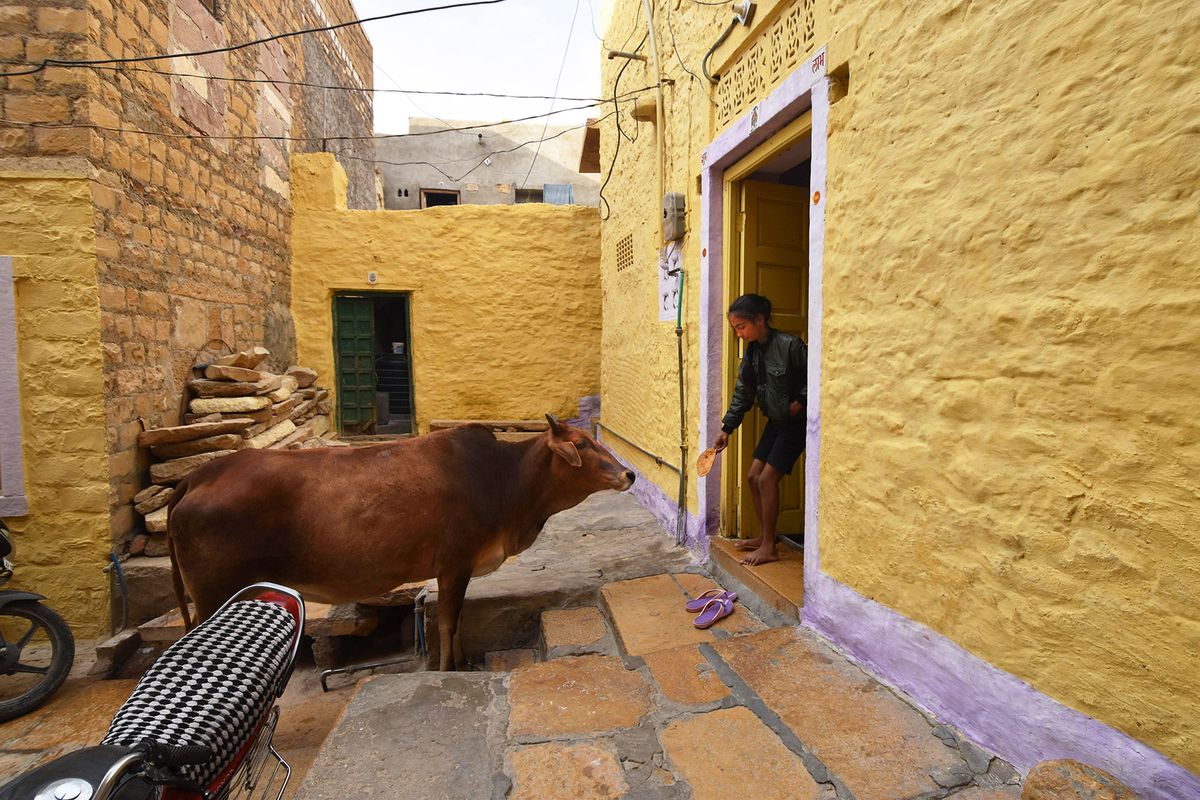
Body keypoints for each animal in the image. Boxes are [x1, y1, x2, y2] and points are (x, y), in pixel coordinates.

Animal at [166, 415, 636, 670]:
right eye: (581, 444)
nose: (629, 474)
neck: (504, 479)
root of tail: (198, 476)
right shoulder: (454, 563)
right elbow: (447, 623)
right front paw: (449, 670)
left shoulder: (460, 569)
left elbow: (457, 621)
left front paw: (462, 661)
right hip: (215, 594)